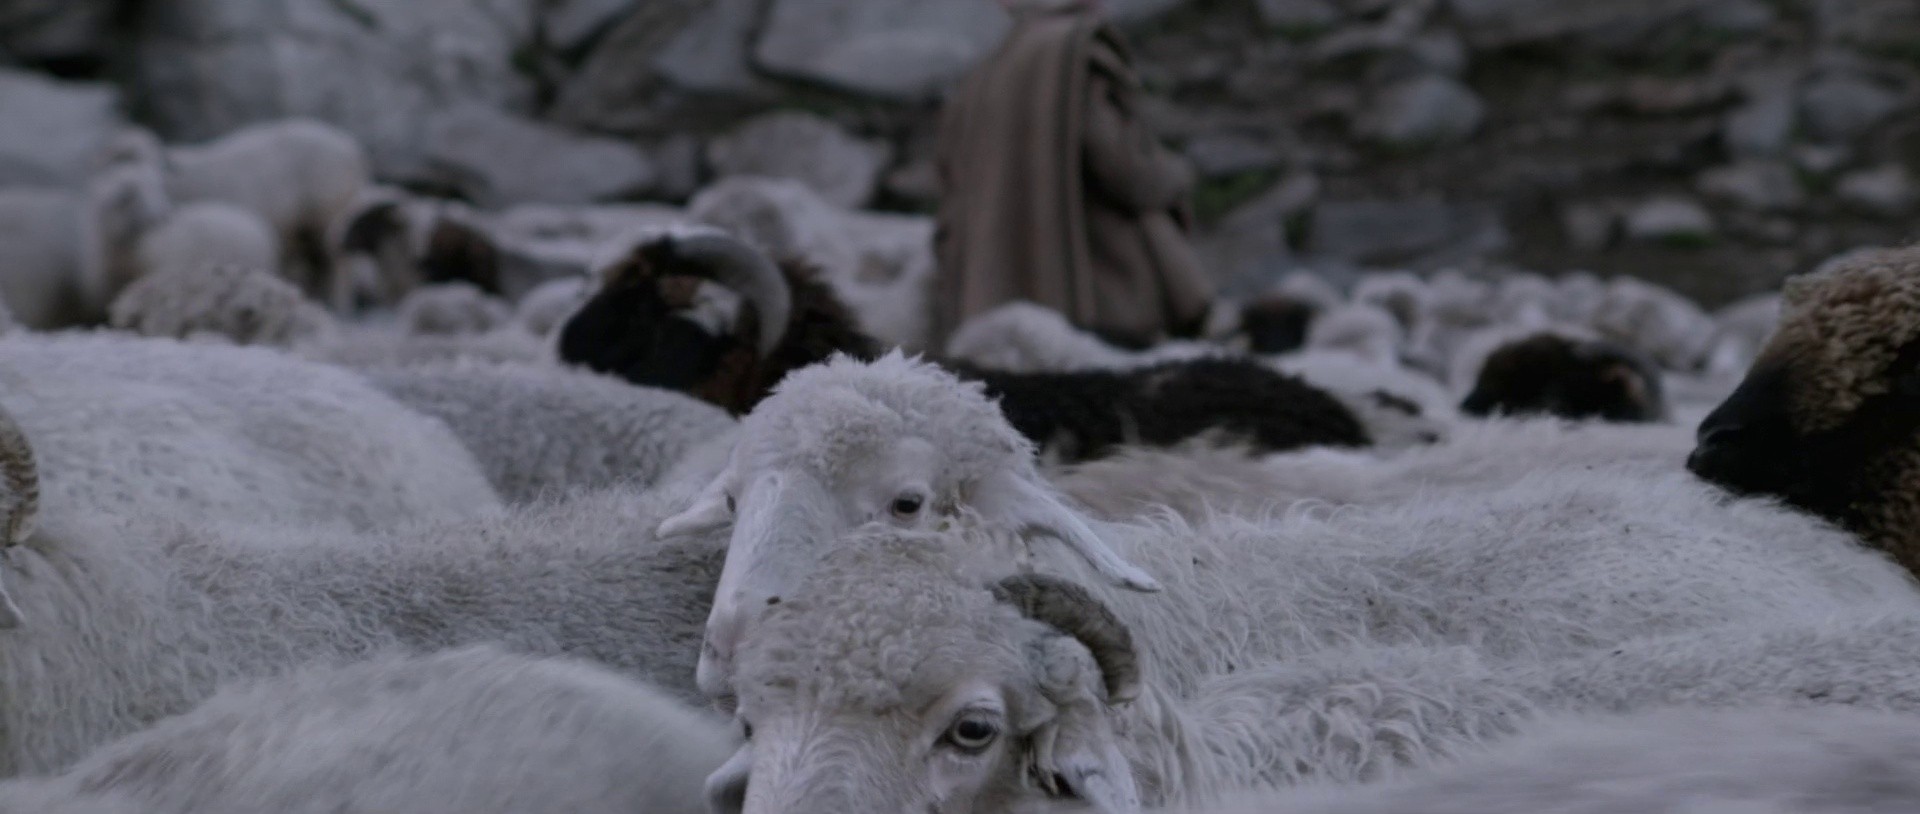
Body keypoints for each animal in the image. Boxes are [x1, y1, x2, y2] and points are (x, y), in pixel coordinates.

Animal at [101, 120, 371, 309]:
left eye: (153, 158)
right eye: (120, 158)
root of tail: (351, 145)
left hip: (329, 215)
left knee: (338, 264)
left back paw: (339, 305)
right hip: (306, 229)